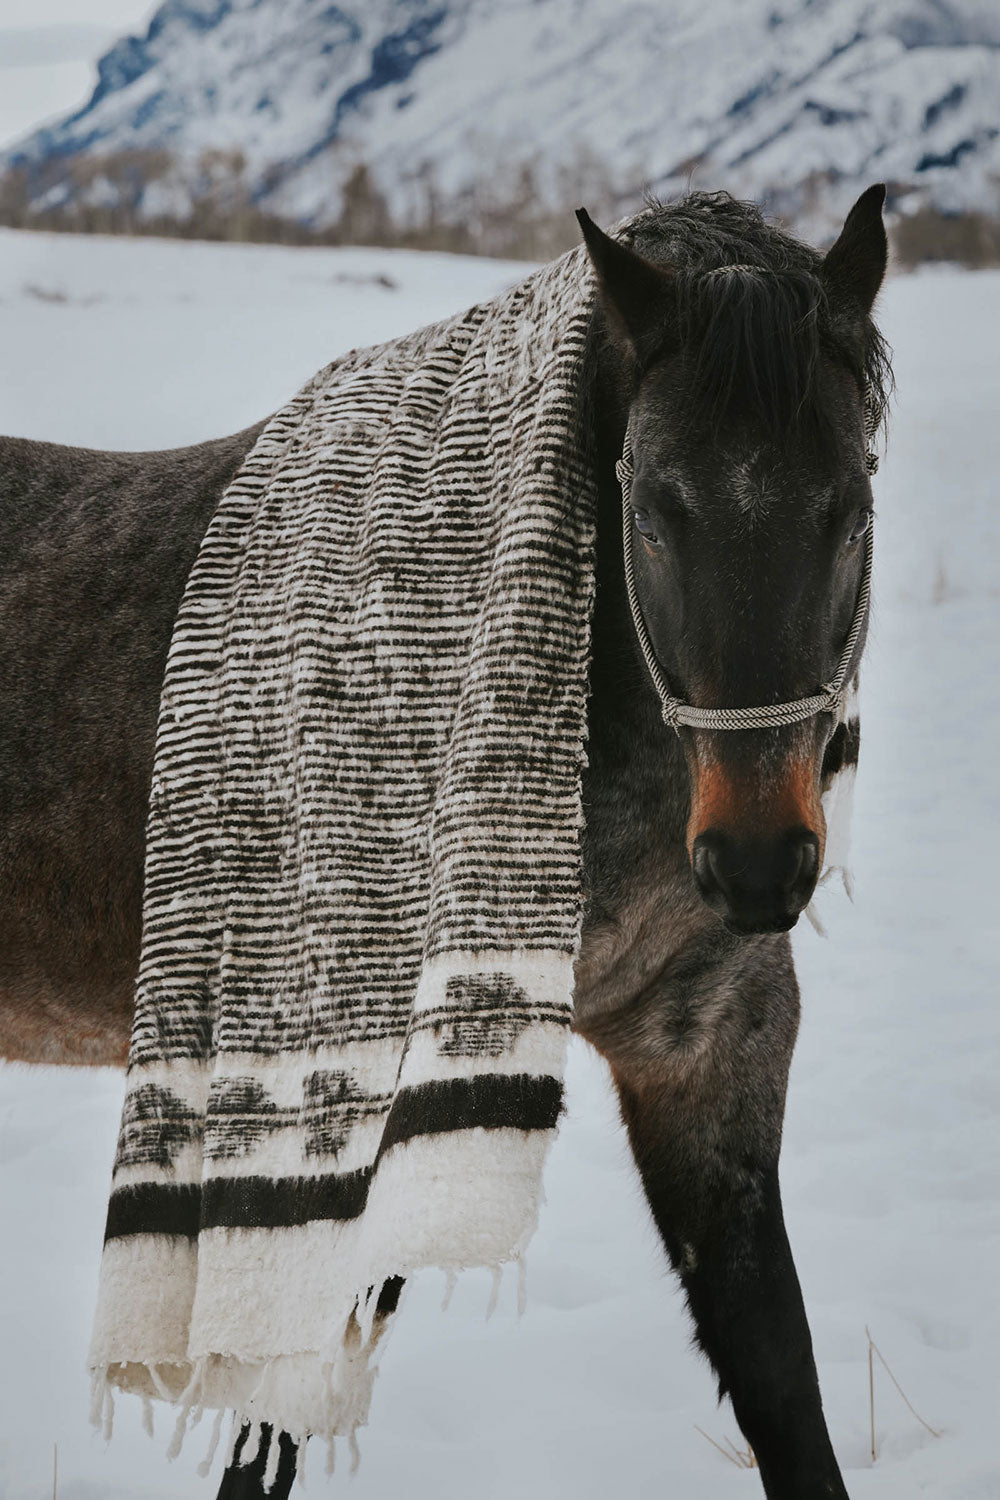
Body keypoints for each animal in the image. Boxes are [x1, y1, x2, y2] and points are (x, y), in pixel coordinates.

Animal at [0, 190, 893, 1500]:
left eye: (851, 508)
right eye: (652, 512)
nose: (757, 861)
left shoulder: (707, 1046)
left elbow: (779, 1378)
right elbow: (278, 1414)